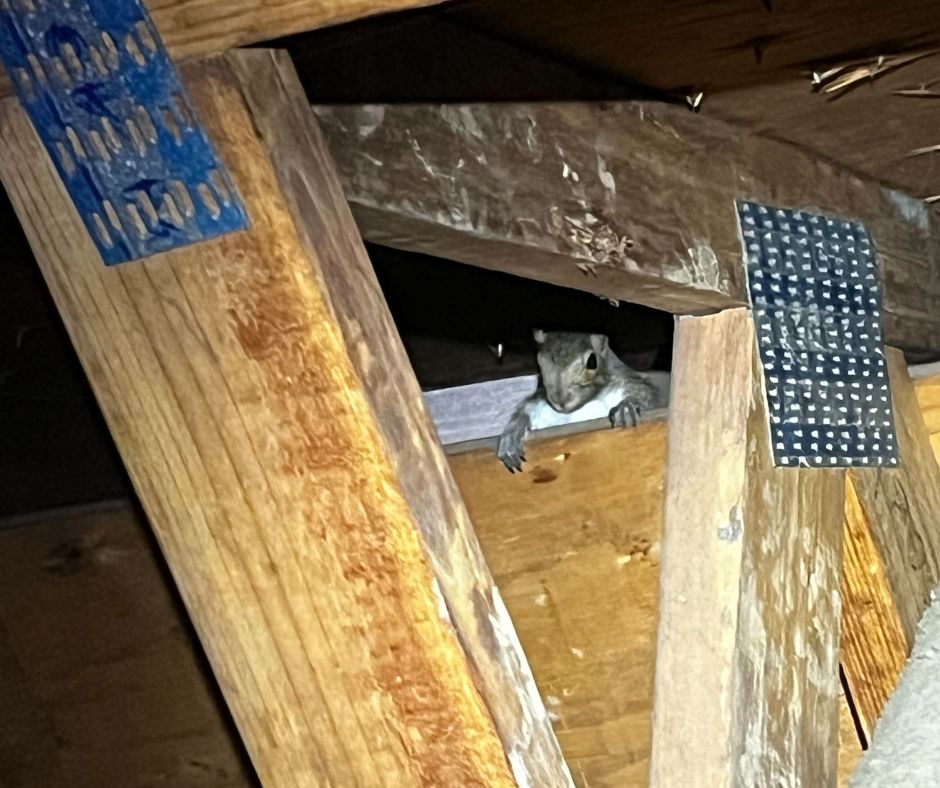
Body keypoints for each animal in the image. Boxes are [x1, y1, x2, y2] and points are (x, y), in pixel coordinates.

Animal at [497, 330, 670, 472]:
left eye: (592, 362)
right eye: (539, 362)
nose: (560, 401)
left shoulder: (635, 383)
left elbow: (649, 397)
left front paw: (626, 406)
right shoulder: (546, 406)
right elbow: (529, 409)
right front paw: (513, 432)